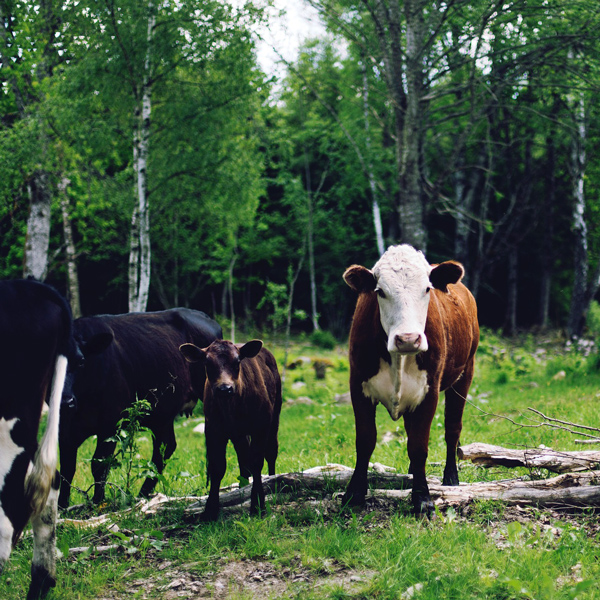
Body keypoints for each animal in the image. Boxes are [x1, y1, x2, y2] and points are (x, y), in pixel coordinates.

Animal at [58, 308, 223, 508]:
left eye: (81, 361)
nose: (65, 401)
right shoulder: (64, 429)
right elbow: (66, 470)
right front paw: (61, 507)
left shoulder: (110, 423)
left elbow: (99, 464)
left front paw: (98, 503)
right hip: (161, 414)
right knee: (164, 448)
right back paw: (143, 494)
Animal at [179, 340, 282, 524]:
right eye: (207, 363)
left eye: (237, 361)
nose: (224, 388)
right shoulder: (213, 430)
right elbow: (217, 467)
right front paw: (210, 510)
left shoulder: (261, 426)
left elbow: (257, 462)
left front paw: (258, 505)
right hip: (238, 434)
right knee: (243, 459)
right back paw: (242, 488)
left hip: (275, 414)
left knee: (270, 452)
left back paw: (271, 480)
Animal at [342, 244, 478, 516]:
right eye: (380, 291)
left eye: (427, 288)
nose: (407, 339)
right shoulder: (358, 386)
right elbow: (365, 441)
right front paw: (354, 493)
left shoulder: (430, 392)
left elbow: (419, 445)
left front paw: (422, 498)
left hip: (464, 374)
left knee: (452, 428)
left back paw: (450, 477)